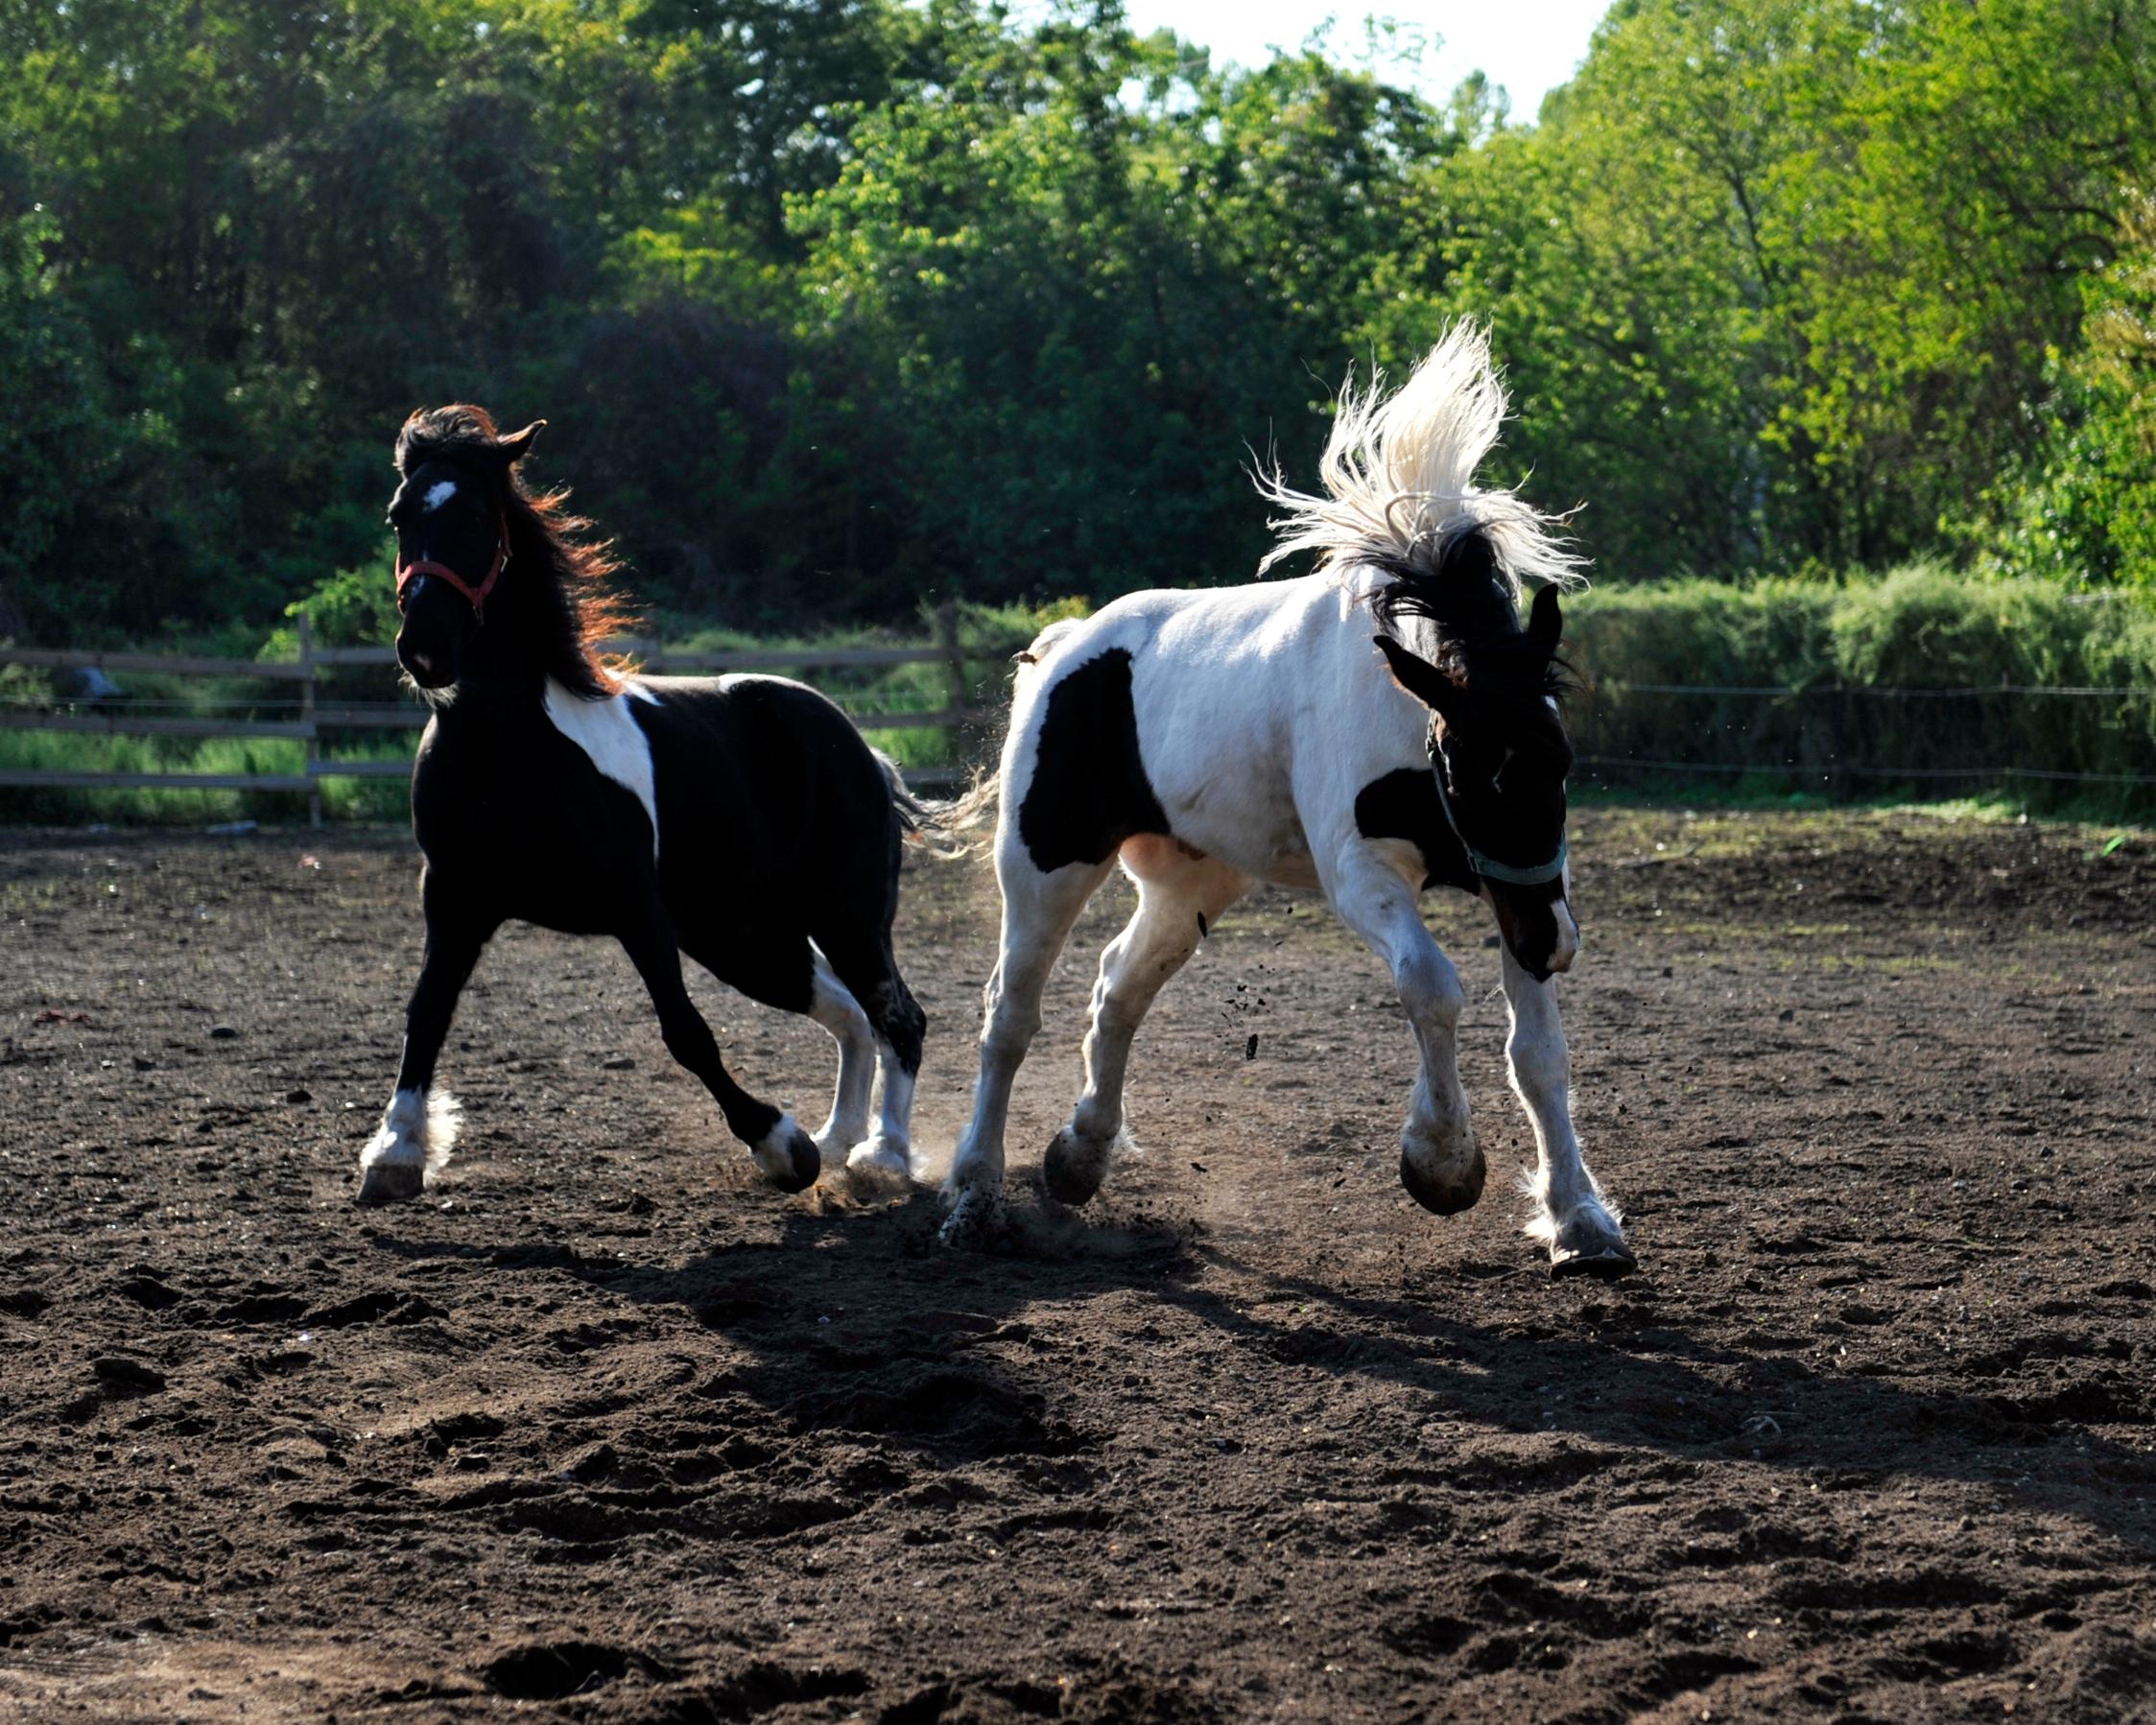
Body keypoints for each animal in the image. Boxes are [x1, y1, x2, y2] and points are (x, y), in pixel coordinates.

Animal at [355, 412, 927, 1207]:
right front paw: (395, 1150)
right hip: (741, 935)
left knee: (897, 1016)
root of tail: (862, 750)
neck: (507, 746)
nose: (425, 646)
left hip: (843, 914)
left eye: (476, 516)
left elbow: (685, 1032)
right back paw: (838, 1140)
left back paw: (883, 1157)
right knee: (849, 1016)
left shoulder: (634, 906)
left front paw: (778, 1146)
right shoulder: (455, 897)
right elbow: (426, 1012)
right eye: (399, 516)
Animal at [944, 323, 1629, 1276]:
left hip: (1191, 882)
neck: (1402, 703)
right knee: (1008, 1015)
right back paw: (973, 1195)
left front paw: (1578, 1217)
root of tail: (1068, 646)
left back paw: (1080, 1154)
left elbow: (1537, 1055)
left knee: (1118, 989)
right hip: (1045, 864)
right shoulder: (1365, 875)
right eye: (1471, 773)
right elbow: (1431, 987)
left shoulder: (1514, 886)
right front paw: (1441, 1162)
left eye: (1558, 764)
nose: (1551, 947)